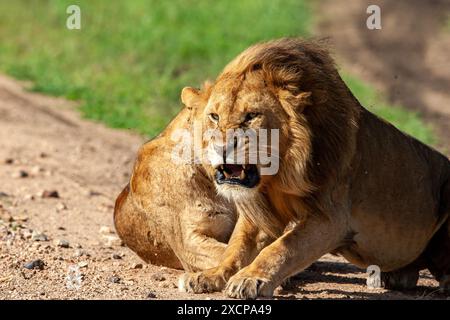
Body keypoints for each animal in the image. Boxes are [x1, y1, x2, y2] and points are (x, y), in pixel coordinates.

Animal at [177, 38, 450, 298]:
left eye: (252, 116)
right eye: (214, 117)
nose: (220, 147)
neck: (279, 176)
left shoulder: (332, 218)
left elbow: (282, 249)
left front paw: (250, 279)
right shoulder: (260, 213)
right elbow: (237, 246)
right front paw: (212, 275)